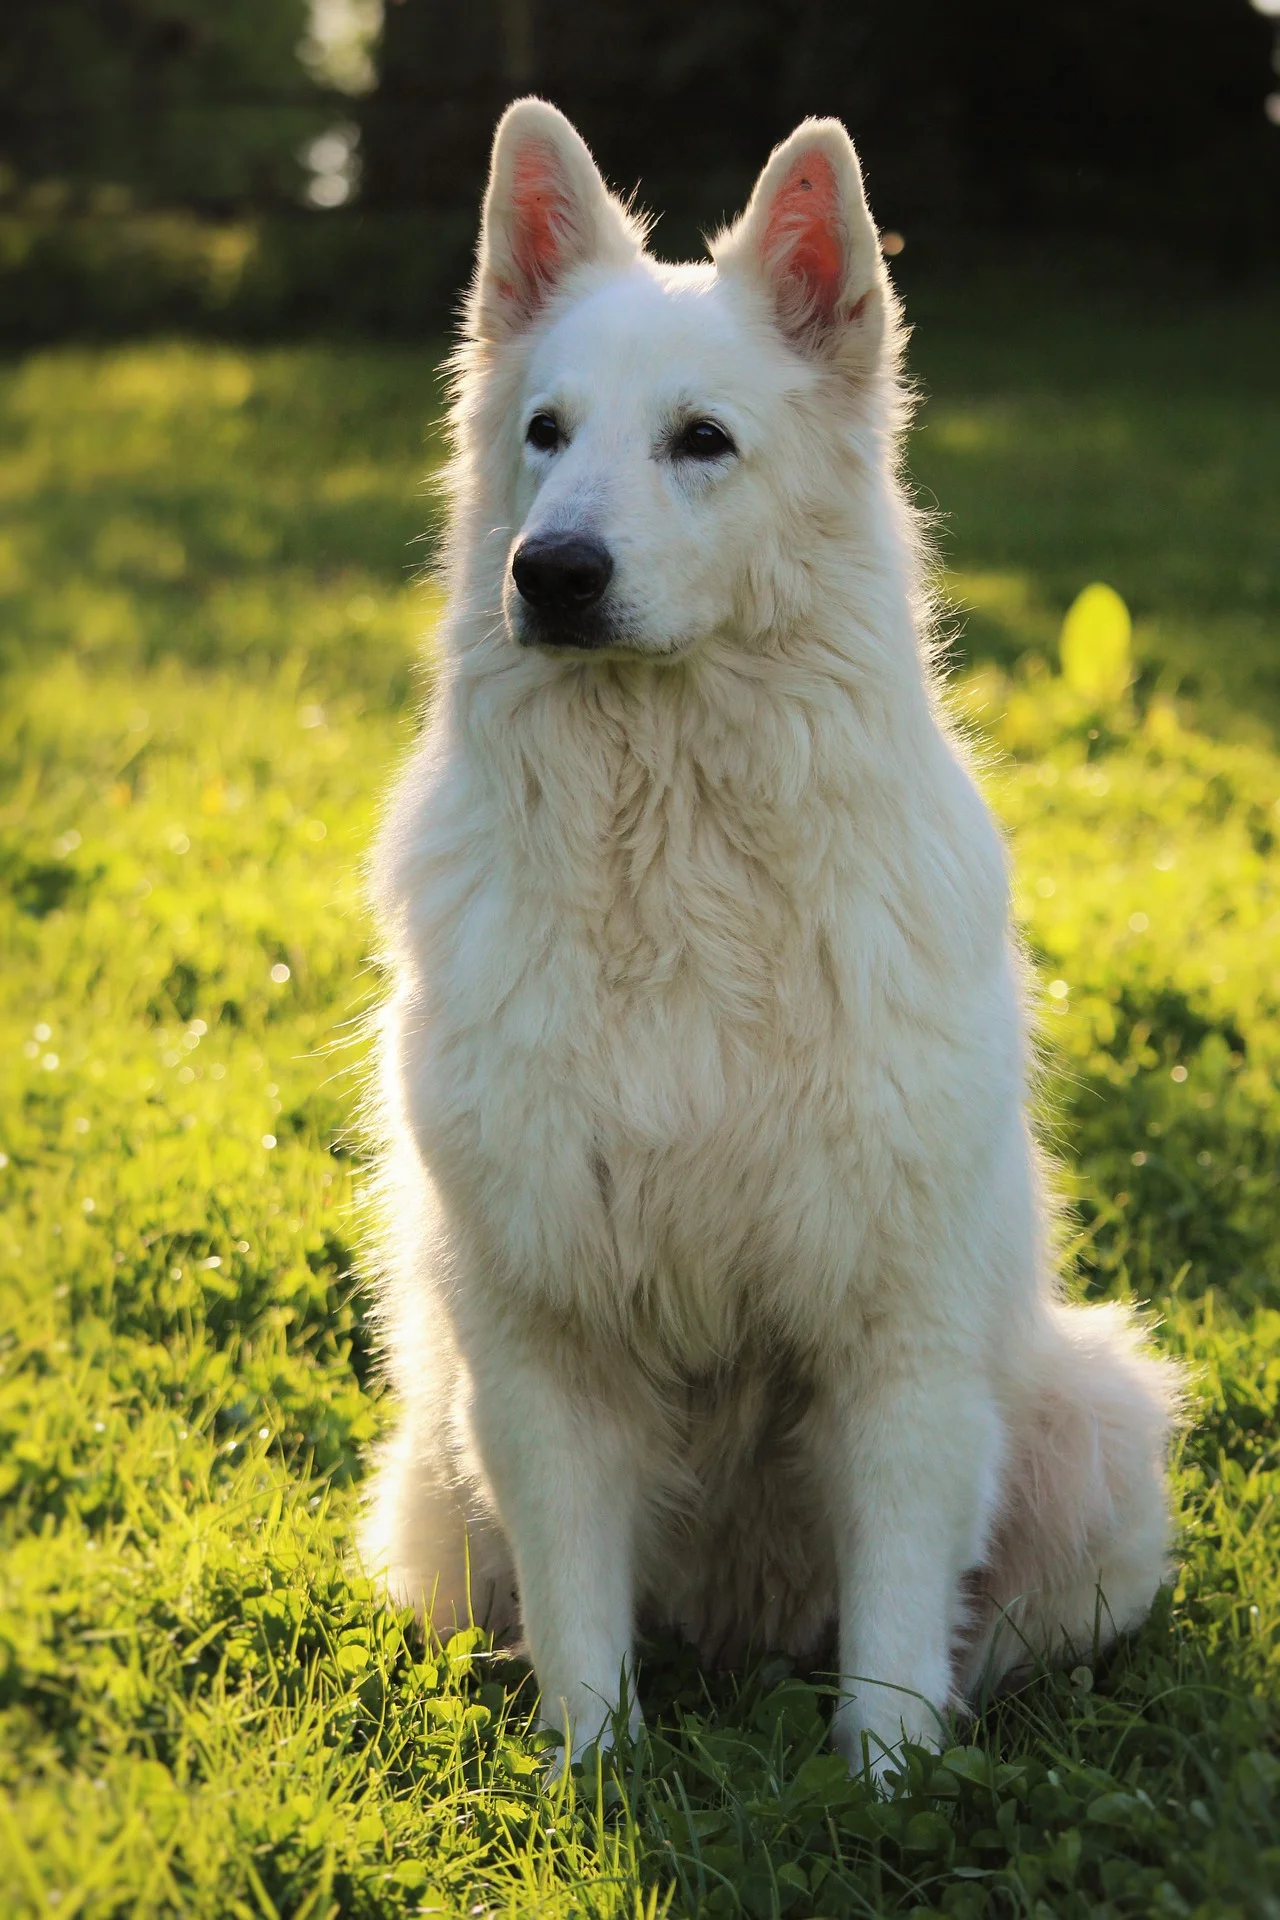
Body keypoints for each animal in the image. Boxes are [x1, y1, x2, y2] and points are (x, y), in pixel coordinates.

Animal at [358, 101, 1182, 1781]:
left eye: (702, 442)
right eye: (546, 431)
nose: (551, 573)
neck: (675, 847)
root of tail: (742, 1633)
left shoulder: (899, 1330)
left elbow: (895, 1640)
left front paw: (886, 1796)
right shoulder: (540, 1336)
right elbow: (584, 1629)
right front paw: (592, 1782)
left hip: (1096, 1425)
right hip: (436, 1483)